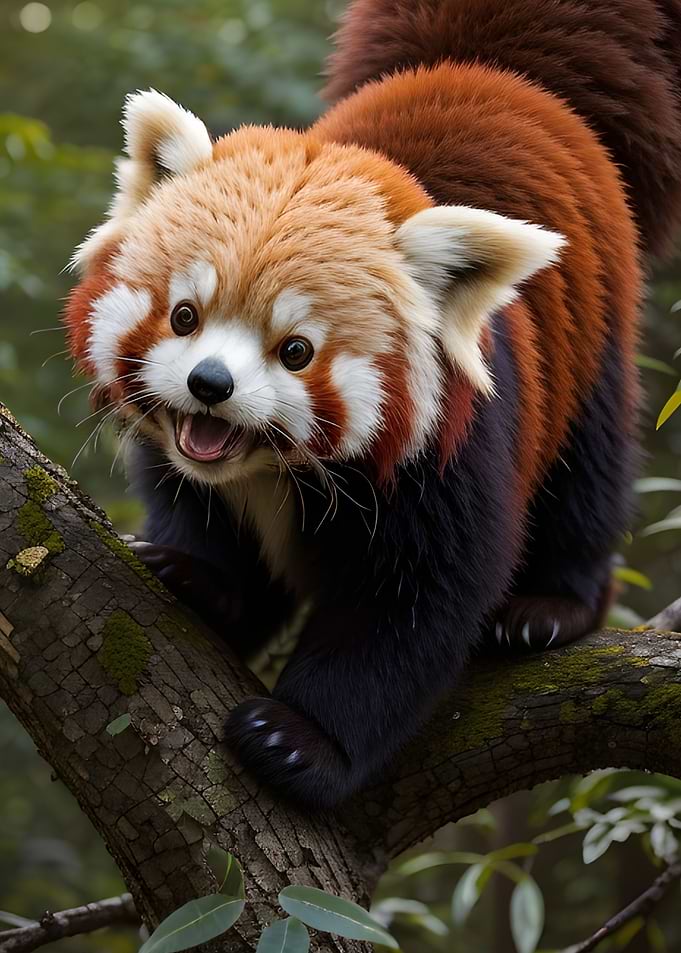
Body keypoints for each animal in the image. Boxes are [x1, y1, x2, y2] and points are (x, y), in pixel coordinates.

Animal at [64, 0, 681, 807]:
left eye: (296, 350)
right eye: (184, 316)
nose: (210, 385)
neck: (270, 467)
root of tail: (492, 72)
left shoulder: (450, 446)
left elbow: (411, 604)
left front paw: (301, 739)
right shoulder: (189, 464)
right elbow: (195, 509)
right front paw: (200, 580)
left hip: (589, 344)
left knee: (588, 475)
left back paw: (552, 607)